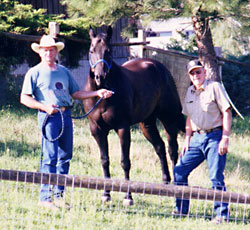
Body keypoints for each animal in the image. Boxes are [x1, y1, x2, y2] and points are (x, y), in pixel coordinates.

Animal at [83, 26, 185, 205]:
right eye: (91, 50)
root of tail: (159, 67)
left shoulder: (122, 128)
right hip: (147, 124)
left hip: (169, 120)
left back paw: (175, 188)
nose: (100, 77)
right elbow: (105, 160)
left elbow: (125, 162)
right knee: (160, 147)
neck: (102, 96)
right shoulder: (97, 130)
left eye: (109, 51)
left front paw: (128, 196)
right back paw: (165, 182)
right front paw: (106, 194)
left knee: (172, 149)